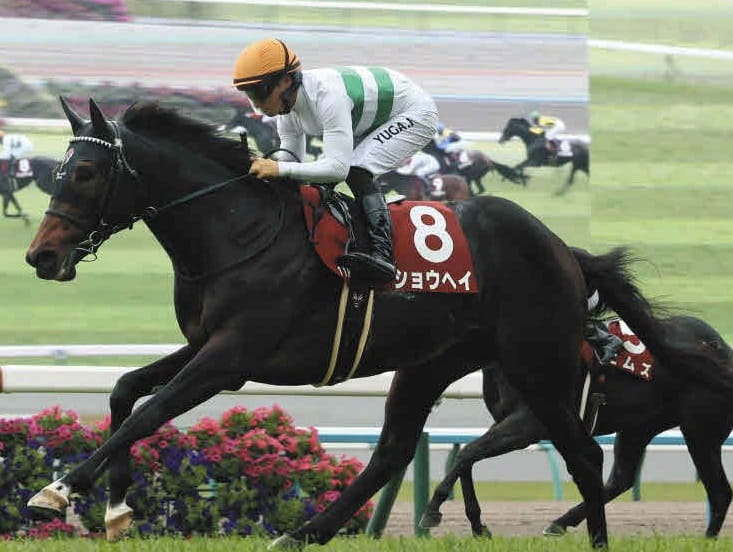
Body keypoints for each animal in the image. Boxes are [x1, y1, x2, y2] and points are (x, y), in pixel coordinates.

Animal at [422, 305, 733, 538]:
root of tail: (721, 348)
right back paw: (560, 522)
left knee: (719, 492)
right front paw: (477, 525)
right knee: (621, 479)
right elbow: (467, 458)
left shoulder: (529, 424)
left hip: (699, 430)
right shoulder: (509, 421)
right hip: (639, 427)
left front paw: (433, 511)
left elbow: (467, 452)